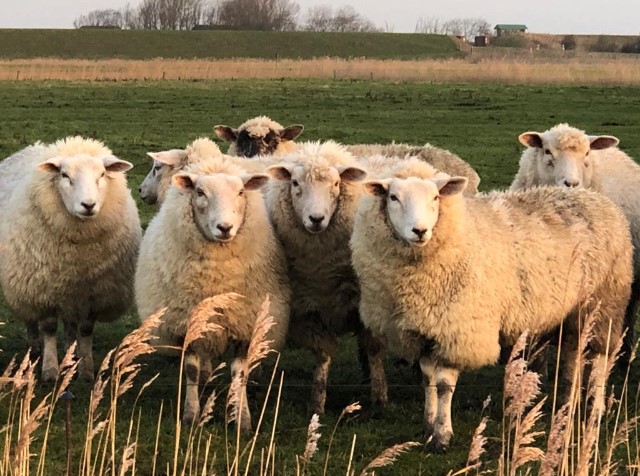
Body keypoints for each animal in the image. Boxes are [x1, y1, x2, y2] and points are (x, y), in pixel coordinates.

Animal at [0, 136, 142, 382]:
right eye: (65, 175)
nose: (88, 205)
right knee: (30, 319)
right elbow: (48, 328)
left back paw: (71, 352)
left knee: (69, 324)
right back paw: (35, 348)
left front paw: (85, 368)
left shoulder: (93, 293)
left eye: (102, 174)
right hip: (24, 284)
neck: (78, 255)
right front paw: (50, 371)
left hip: (70, 291)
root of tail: (34, 147)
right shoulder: (42, 289)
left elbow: (85, 329)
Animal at [135, 149, 290, 427]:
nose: (224, 228)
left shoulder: (246, 322)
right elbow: (192, 369)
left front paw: (241, 417)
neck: (218, 281)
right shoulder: (187, 322)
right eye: (200, 192)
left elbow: (239, 372)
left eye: (241, 191)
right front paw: (191, 414)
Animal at [265, 140, 389, 415]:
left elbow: (373, 348)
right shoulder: (308, 307)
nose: (316, 219)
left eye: (335, 184)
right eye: (295, 183)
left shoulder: (367, 302)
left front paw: (379, 398)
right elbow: (323, 354)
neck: (323, 268)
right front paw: (317, 402)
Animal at [351, 158, 632, 450]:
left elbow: (444, 385)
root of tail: (596, 198)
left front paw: (443, 435)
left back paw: (595, 409)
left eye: (436, 197)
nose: (420, 231)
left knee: (600, 358)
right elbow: (428, 379)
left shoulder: (458, 328)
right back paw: (567, 403)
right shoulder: (424, 328)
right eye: (393, 197)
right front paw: (428, 427)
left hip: (604, 303)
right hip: (575, 311)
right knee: (573, 354)